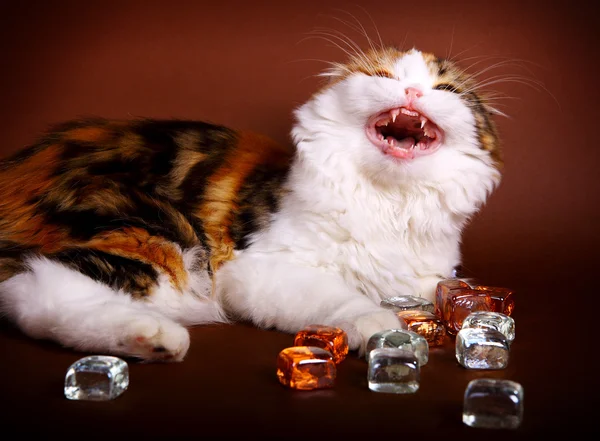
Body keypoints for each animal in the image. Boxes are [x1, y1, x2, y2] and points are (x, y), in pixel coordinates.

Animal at [0, 46, 502, 360]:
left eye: (446, 90)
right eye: (382, 76)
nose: (414, 93)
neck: (389, 203)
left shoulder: (430, 275)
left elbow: (450, 292)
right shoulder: (260, 268)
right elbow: (340, 296)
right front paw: (376, 321)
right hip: (152, 231)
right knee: (36, 291)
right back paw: (154, 337)